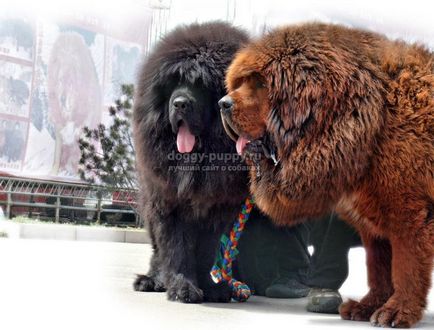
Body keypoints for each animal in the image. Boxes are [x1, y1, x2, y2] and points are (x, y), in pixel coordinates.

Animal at [134, 21, 253, 302]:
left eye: (201, 84)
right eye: (174, 82)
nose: (179, 103)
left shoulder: (217, 210)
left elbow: (207, 252)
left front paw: (212, 288)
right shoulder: (168, 205)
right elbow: (176, 251)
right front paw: (182, 287)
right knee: (158, 253)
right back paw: (153, 280)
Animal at [220, 22, 434, 328]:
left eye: (261, 83)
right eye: (240, 83)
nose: (222, 103)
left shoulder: (409, 214)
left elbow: (405, 269)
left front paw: (398, 311)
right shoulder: (373, 223)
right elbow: (379, 269)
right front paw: (370, 305)